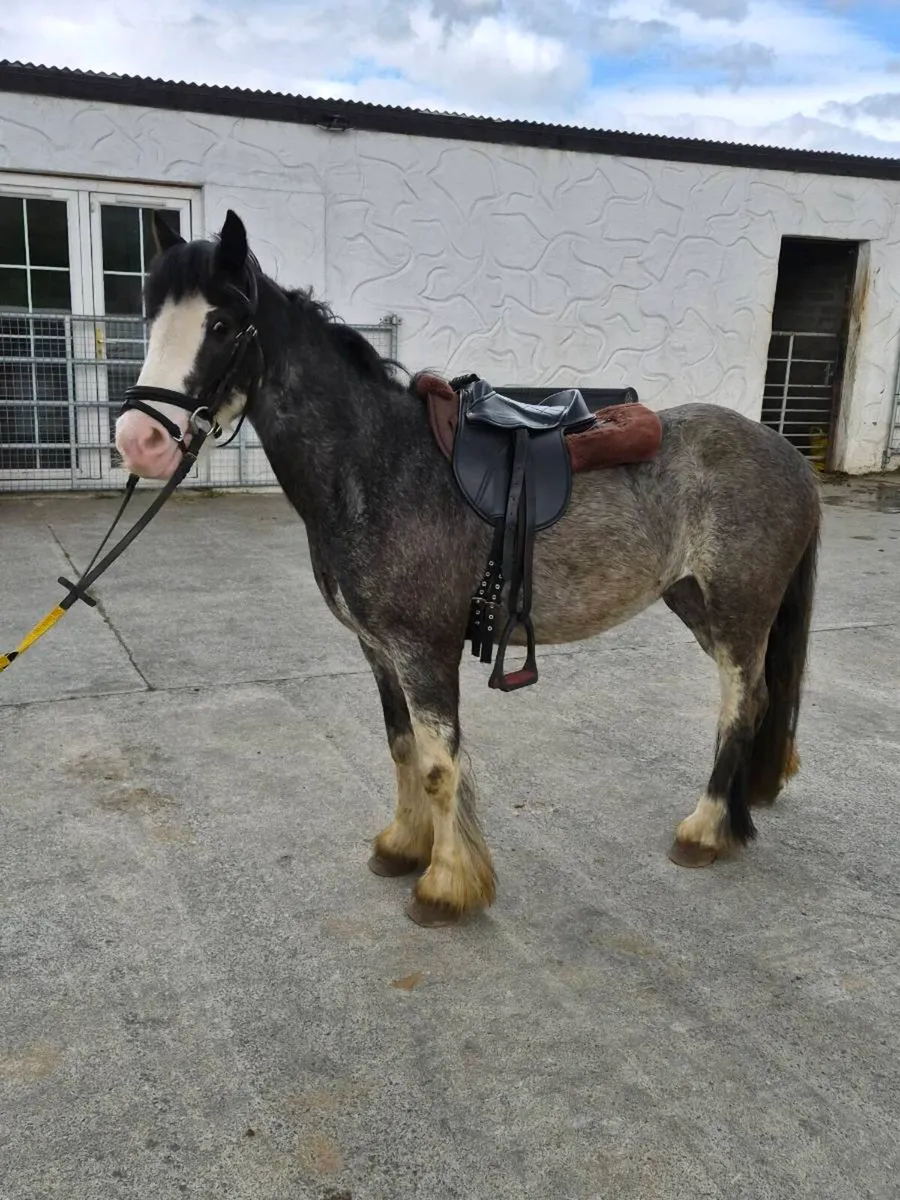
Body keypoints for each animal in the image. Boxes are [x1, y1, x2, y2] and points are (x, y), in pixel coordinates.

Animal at [114, 210, 821, 927]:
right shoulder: (379, 650)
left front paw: (446, 886)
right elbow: (401, 746)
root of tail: (786, 452)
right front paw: (403, 846)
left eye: (222, 324)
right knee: (756, 700)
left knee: (741, 703)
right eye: (151, 318)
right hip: (695, 602)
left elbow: (437, 764)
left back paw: (704, 831)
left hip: (738, 611)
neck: (375, 464)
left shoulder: (424, 650)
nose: (137, 441)